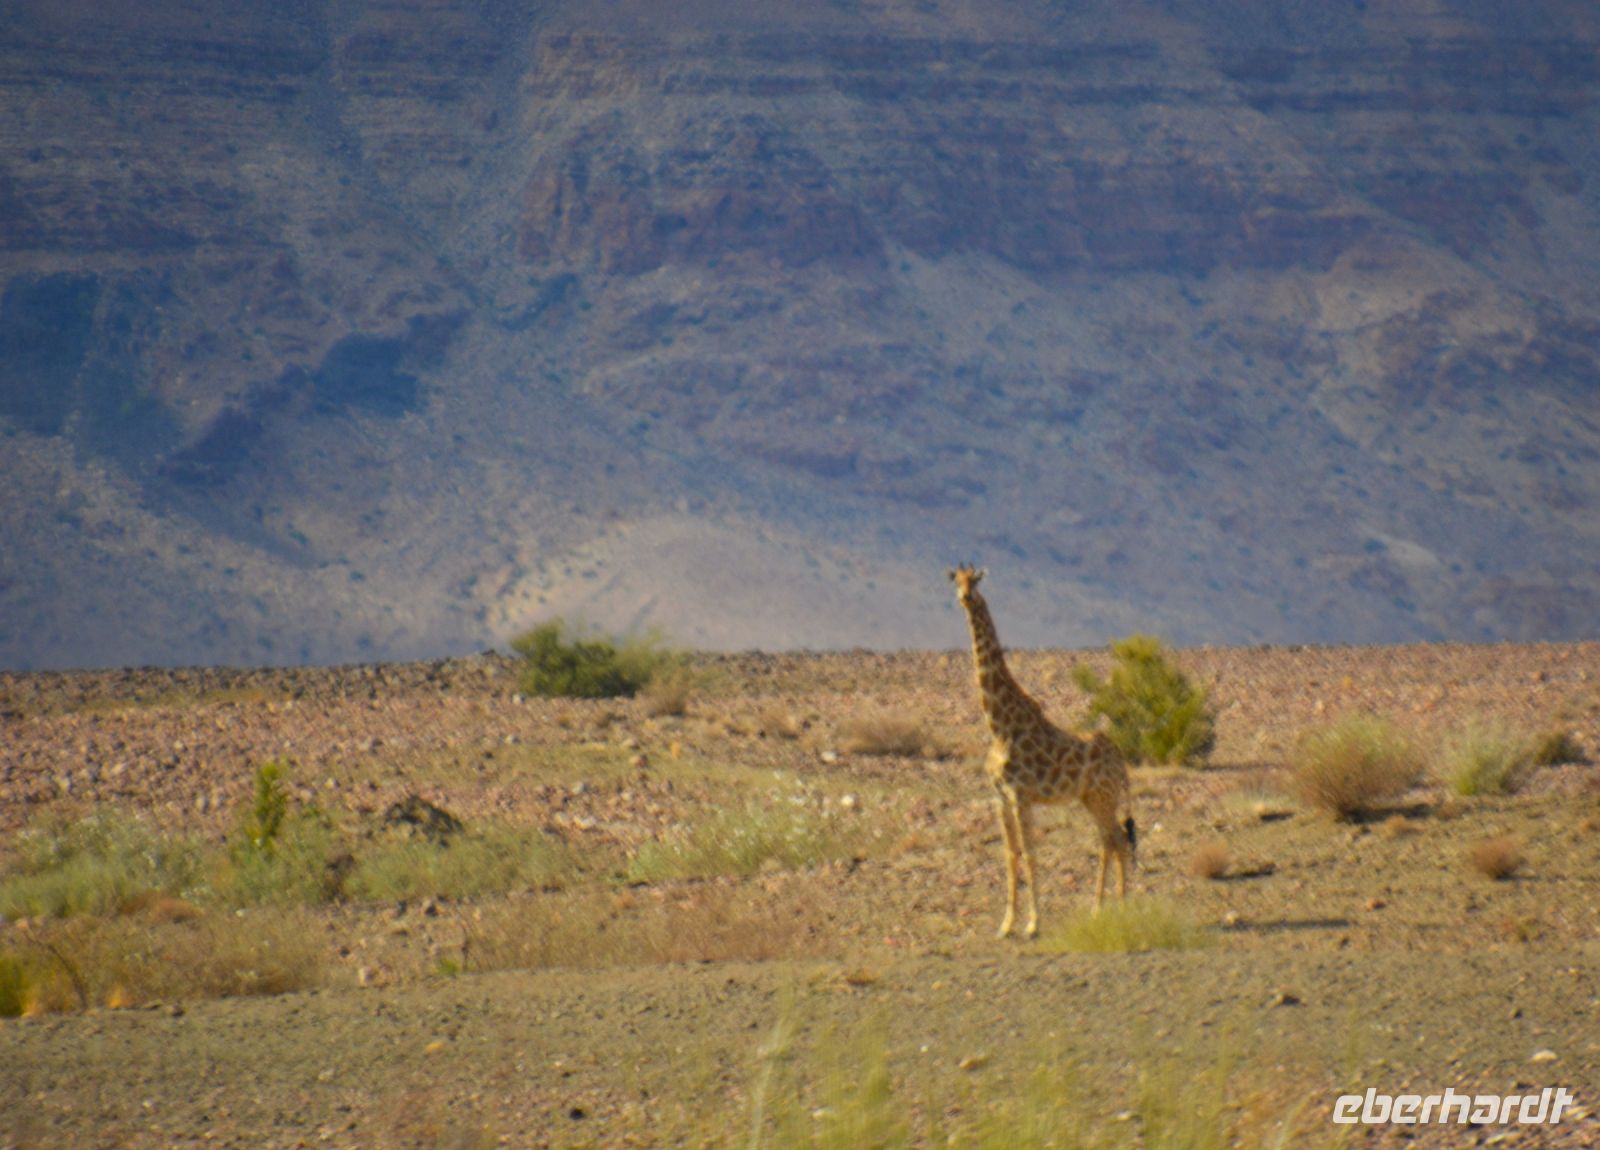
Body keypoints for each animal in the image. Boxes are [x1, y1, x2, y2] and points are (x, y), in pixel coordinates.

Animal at [949, 566, 1135, 938]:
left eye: (976, 579)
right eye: (955, 580)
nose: (965, 597)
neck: (999, 726)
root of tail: (1120, 760)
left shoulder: (1021, 797)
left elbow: (1031, 852)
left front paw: (1033, 924)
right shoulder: (1000, 798)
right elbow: (1010, 855)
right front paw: (1006, 925)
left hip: (1104, 797)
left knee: (1117, 839)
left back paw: (1117, 910)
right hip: (1091, 799)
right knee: (1109, 840)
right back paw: (1100, 911)